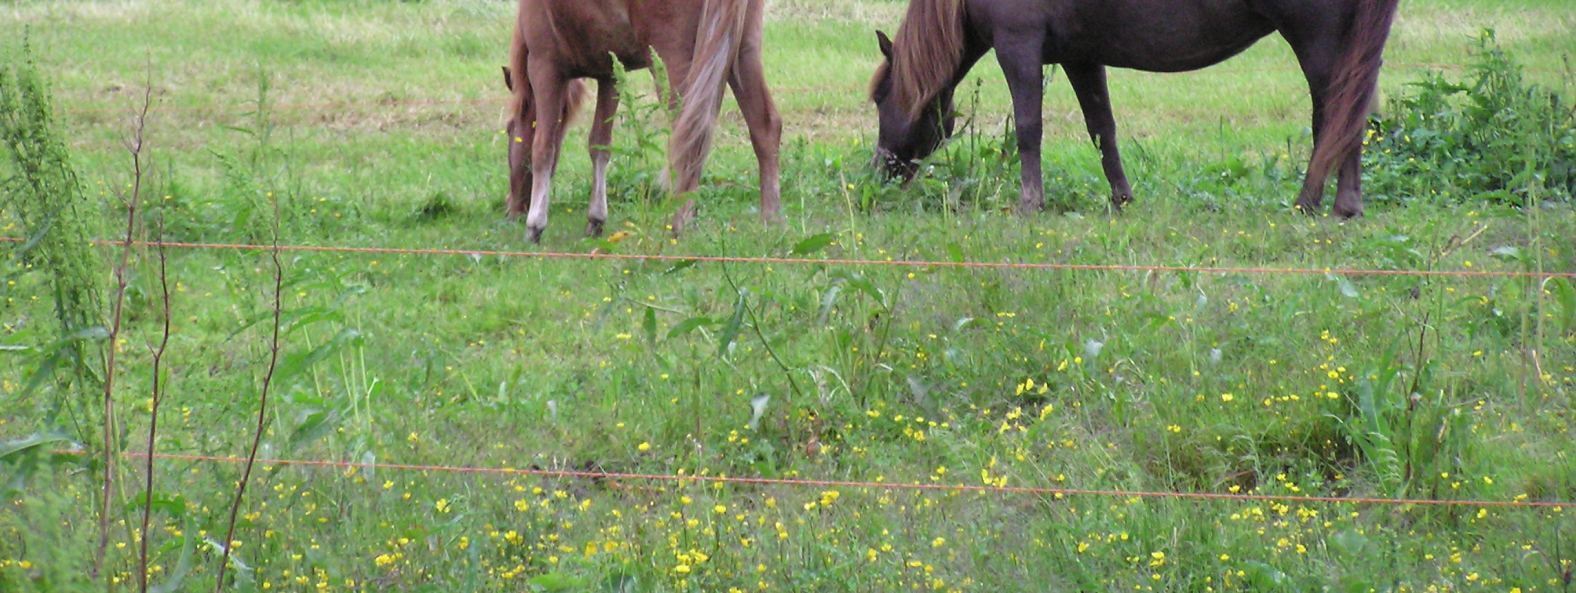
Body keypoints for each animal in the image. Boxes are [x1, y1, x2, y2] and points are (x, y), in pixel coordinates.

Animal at [501, 0, 778, 242]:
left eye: (509, 130)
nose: (512, 211)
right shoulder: (610, 75)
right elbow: (600, 146)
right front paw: (595, 219)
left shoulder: (544, 68)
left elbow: (542, 149)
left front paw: (535, 225)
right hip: (741, 54)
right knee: (764, 126)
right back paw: (771, 218)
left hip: (674, 61)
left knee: (689, 137)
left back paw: (680, 223)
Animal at [876, 0, 1405, 217]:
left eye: (880, 98)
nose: (878, 173)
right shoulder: (1080, 56)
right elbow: (1101, 129)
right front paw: (1121, 198)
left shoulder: (1017, 46)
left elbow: (1029, 128)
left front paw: (1030, 203)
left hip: (1317, 43)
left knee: (1337, 117)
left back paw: (1318, 202)